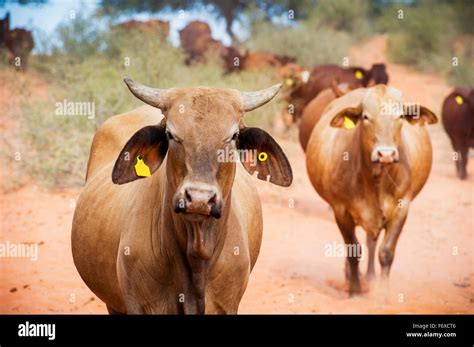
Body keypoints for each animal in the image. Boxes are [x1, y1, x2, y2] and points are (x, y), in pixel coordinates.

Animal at [308, 84, 436, 296]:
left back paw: (369, 276)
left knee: (372, 242)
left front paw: (383, 293)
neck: (376, 180)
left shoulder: (402, 208)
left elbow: (386, 252)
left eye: (400, 116)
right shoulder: (341, 211)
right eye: (366, 117)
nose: (386, 154)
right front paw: (355, 290)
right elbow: (353, 250)